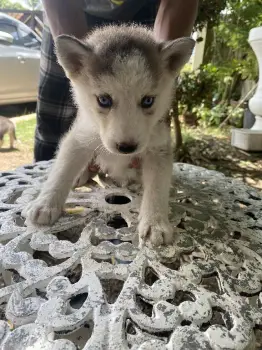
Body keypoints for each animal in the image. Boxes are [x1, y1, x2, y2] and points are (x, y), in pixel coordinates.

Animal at [24, 25, 194, 246]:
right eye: (104, 100)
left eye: (148, 101)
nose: (126, 147)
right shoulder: (80, 137)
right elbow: (61, 171)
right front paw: (45, 204)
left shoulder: (158, 148)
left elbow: (157, 187)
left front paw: (155, 222)